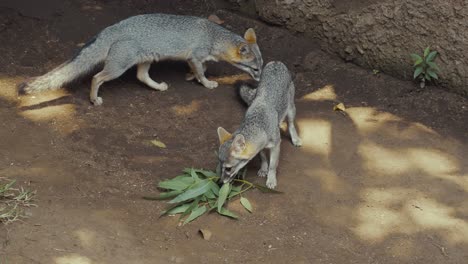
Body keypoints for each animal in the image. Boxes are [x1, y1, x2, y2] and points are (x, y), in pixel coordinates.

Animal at [18, 12, 264, 104]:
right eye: (255, 69)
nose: (260, 81)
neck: (214, 36)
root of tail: (113, 27)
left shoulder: (194, 59)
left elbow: (197, 70)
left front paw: (191, 77)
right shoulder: (196, 55)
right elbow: (201, 72)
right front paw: (206, 83)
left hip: (145, 61)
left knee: (141, 77)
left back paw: (158, 86)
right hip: (118, 67)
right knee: (97, 77)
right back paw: (94, 98)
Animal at [216, 61, 300, 190]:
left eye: (228, 168)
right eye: (220, 165)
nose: (219, 182)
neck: (259, 124)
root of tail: (276, 62)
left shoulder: (276, 145)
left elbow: (273, 165)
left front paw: (271, 179)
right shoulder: (259, 146)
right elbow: (263, 158)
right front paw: (263, 169)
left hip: (290, 109)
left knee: (291, 124)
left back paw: (295, 138)